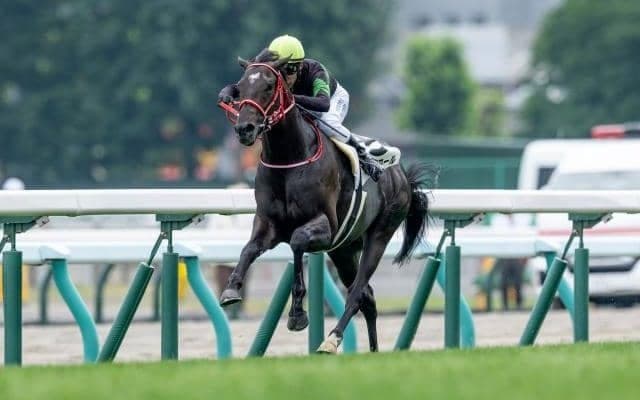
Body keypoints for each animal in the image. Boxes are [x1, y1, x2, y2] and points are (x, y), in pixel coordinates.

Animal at [217, 50, 434, 353]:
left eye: (269, 86)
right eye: (240, 86)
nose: (244, 129)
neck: (289, 159)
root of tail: (401, 175)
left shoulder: (325, 226)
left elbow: (297, 242)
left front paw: (298, 314)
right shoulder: (268, 224)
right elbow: (248, 249)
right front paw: (231, 289)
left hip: (379, 235)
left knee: (357, 293)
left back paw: (331, 339)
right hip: (344, 250)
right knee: (367, 297)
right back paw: (372, 351)